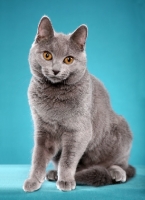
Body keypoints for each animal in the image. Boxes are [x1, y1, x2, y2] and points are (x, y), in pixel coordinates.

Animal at [22, 15, 135, 192]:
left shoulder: (78, 131)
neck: (54, 97)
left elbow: (68, 159)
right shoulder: (43, 130)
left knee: (121, 164)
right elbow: (38, 157)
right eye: (47, 55)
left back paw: (116, 172)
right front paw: (33, 181)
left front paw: (66, 180)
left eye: (68, 59)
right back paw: (53, 173)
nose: (56, 70)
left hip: (122, 130)